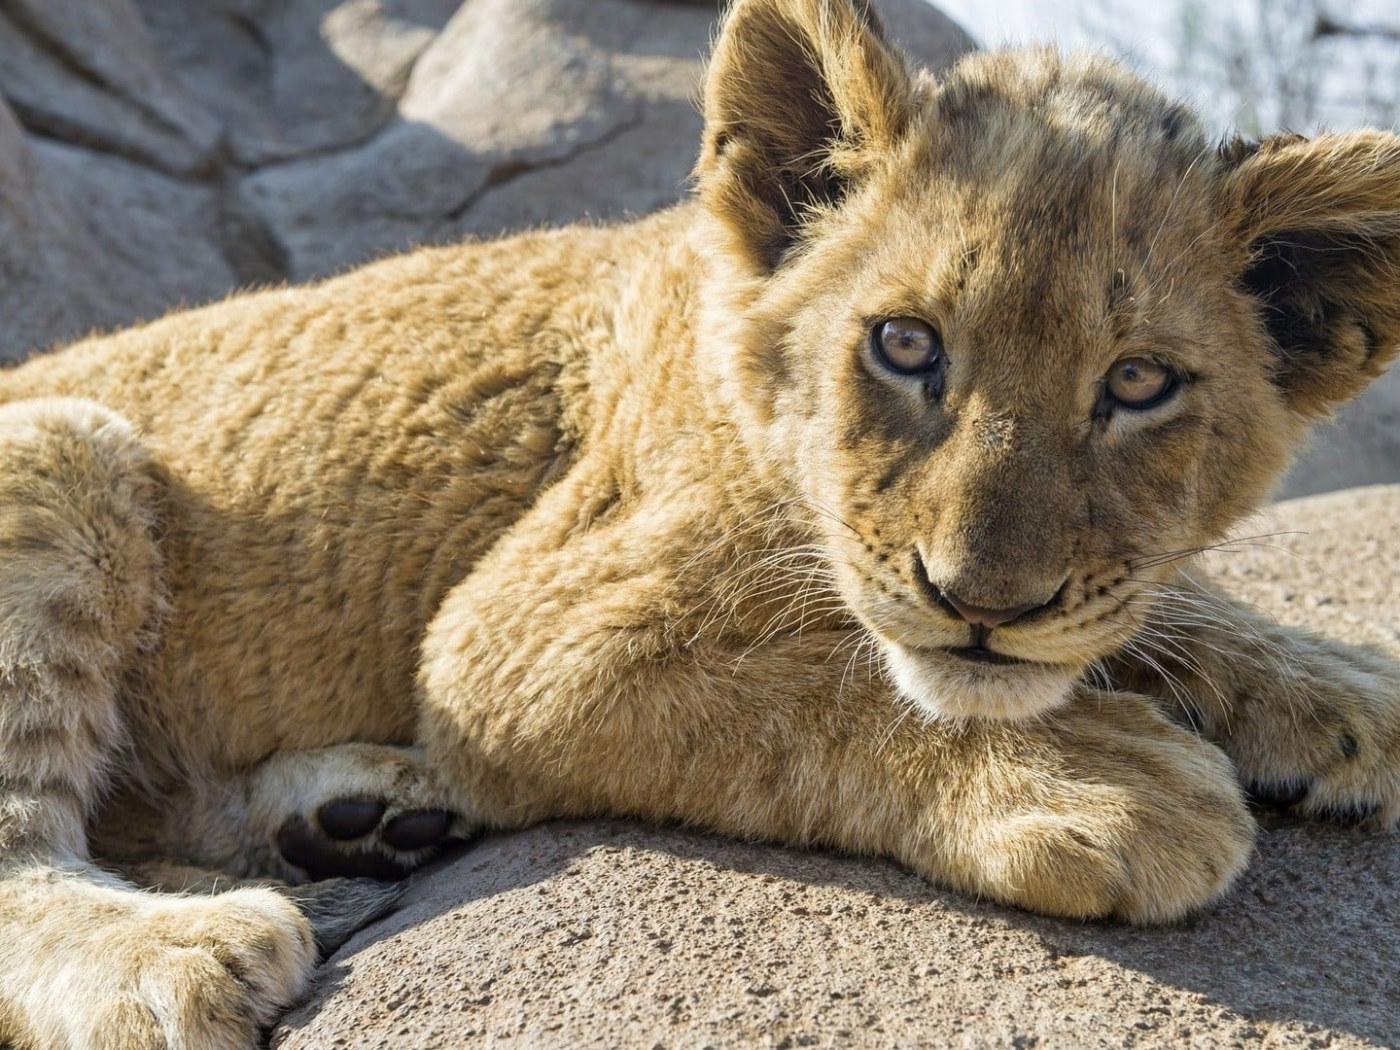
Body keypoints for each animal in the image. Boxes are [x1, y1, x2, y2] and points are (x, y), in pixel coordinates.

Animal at [0, 0, 1398, 1045]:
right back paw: (181, 947)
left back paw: (360, 813)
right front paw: (1104, 779)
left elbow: (1172, 604)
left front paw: (1342, 692)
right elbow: (819, 684)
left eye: (1138, 384)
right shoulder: (515, 638)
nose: (984, 606)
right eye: (904, 345)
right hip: (62, 453)